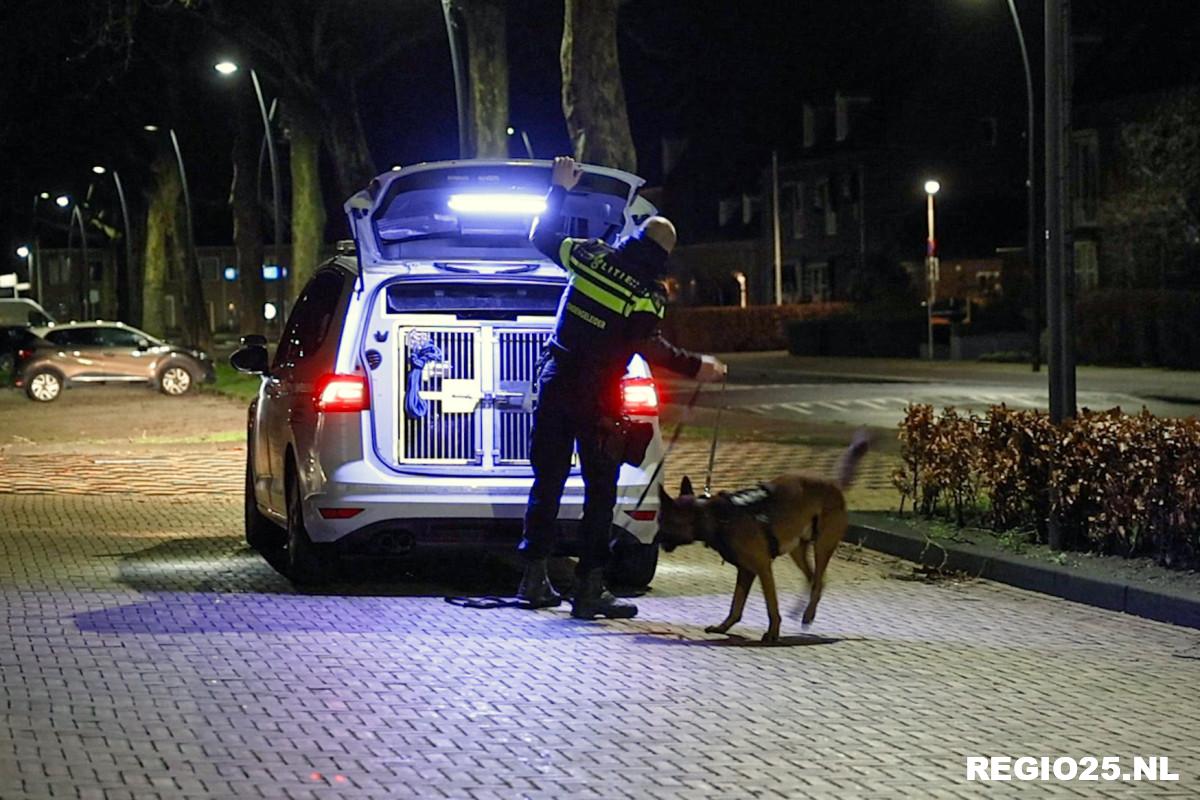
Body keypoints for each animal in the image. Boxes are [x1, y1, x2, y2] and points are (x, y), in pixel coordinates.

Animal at [657, 431, 873, 642]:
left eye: (662, 521)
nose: (654, 539)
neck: (712, 516)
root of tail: (834, 484)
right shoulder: (746, 571)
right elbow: (736, 606)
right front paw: (724, 627)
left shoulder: (762, 568)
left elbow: (771, 606)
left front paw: (773, 633)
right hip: (798, 550)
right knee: (814, 580)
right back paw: (801, 612)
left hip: (822, 546)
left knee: (818, 581)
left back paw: (807, 614)